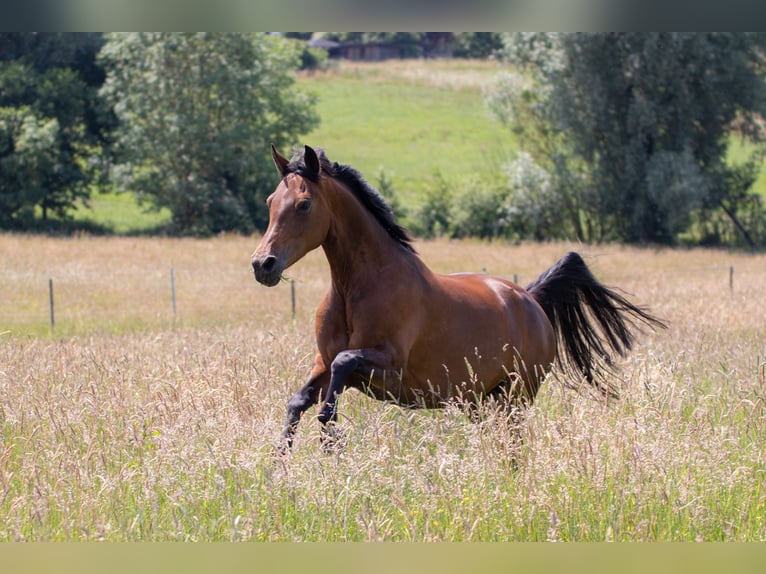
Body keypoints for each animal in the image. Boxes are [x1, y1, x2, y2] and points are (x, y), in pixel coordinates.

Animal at [251, 145, 666, 449]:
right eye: (271, 201)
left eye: (304, 204)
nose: (262, 264)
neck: (357, 288)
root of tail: (531, 301)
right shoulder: (322, 363)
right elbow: (299, 401)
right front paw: (282, 465)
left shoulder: (388, 367)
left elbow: (341, 369)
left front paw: (330, 435)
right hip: (478, 400)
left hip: (516, 397)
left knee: (514, 443)